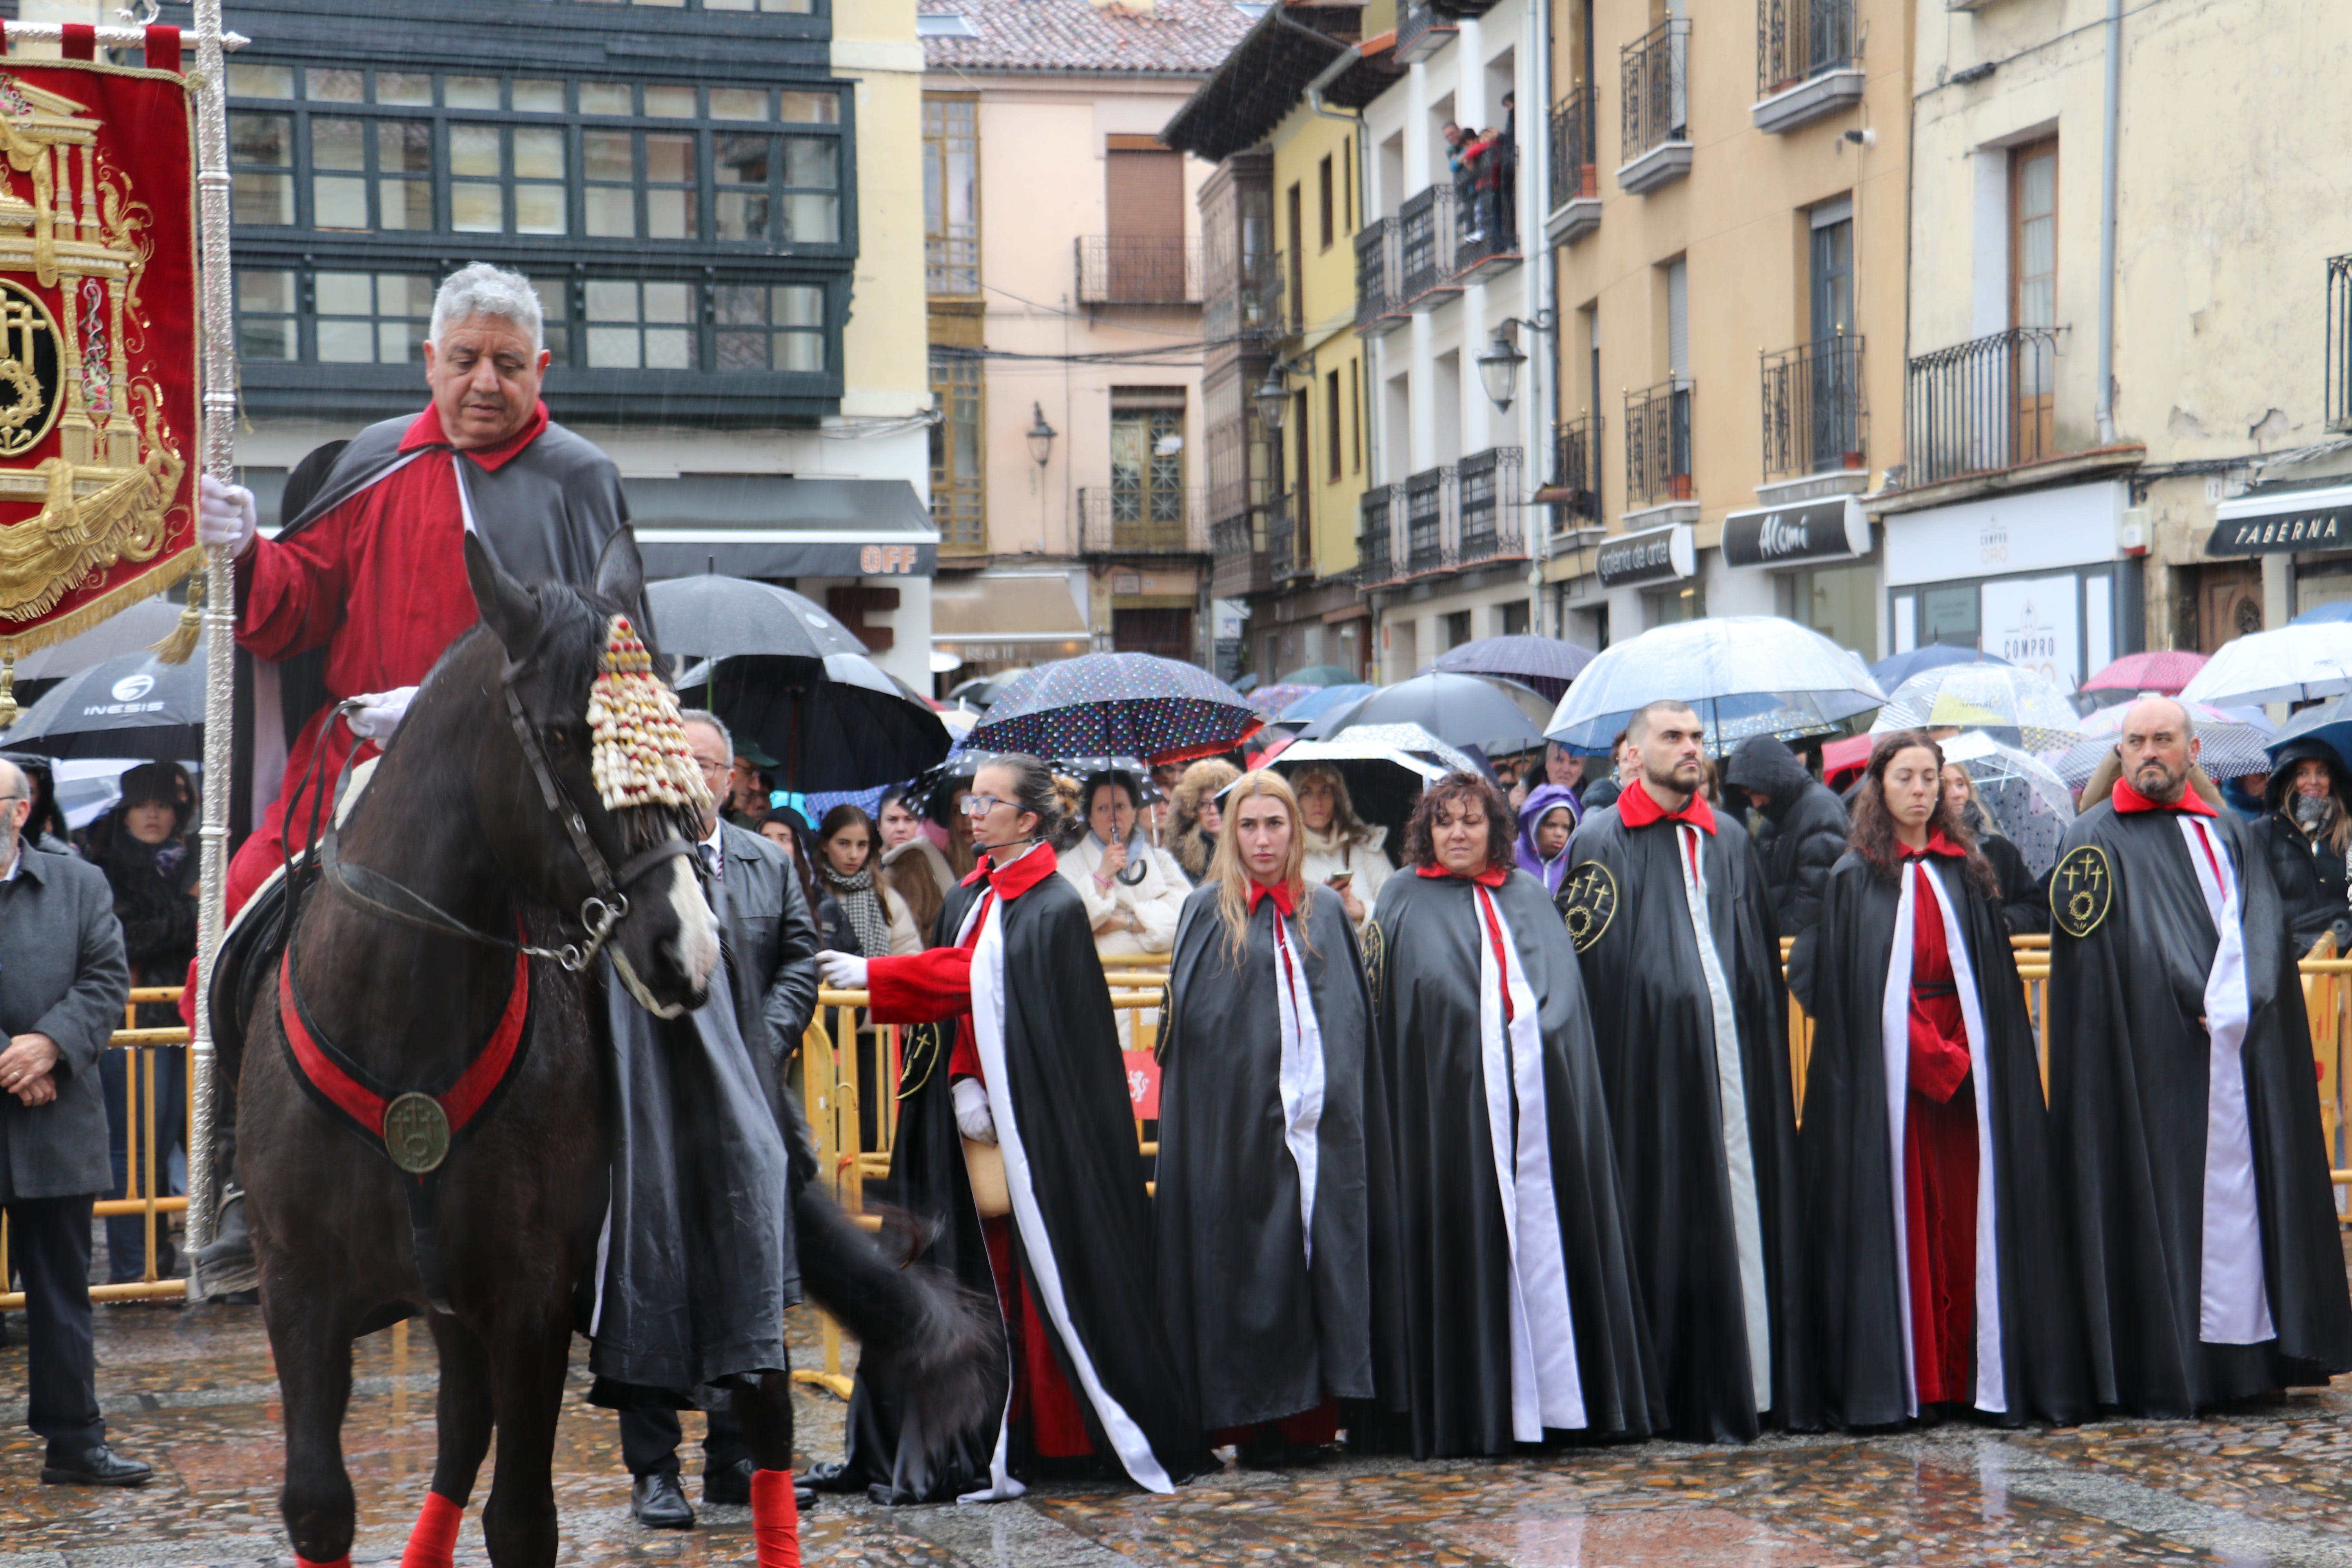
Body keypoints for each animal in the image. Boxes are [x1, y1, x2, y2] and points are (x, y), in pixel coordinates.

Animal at [229, 534, 983, 1561]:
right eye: (557, 734)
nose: (688, 945)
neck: (402, 1035)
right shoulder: (302, 1292)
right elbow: (319, 1501)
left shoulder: (530, 1298)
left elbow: (521, 1517)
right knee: (459, 1432)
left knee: (767, 1409)